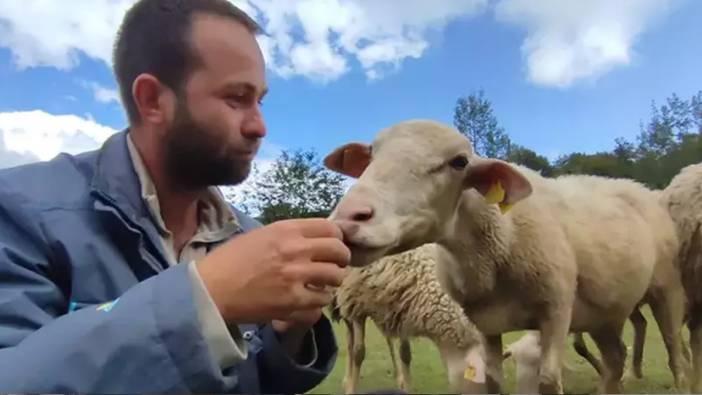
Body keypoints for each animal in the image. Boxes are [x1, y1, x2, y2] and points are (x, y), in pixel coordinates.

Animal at [330, 243, 490, 394]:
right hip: (344, 301)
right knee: (350, 340)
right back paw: (348, 379)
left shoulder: (402, 310)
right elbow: (358, 353)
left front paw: (405, 386)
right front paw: (351, 389)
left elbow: (405, 354)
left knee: (388, 340)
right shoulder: (357, 305)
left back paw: (398, 376)